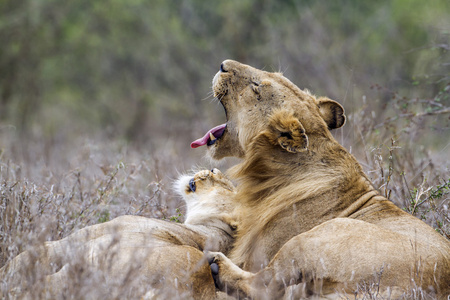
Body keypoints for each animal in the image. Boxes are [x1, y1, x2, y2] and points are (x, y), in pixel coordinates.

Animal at [191, 59, 450, 298]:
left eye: (256, 86)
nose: (223, 64)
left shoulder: (258, 256)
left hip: (316, 236)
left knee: (262, 286)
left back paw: (217, 266)